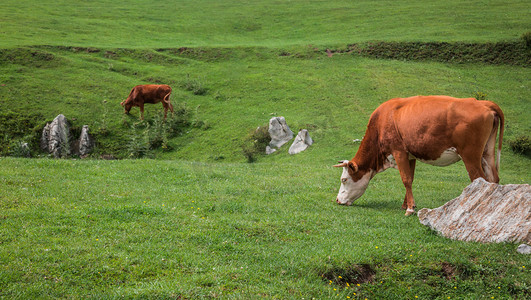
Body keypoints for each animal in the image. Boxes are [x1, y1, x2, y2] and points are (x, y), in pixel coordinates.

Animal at [334, 96, 504, 216]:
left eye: (344, 179)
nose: (337, 200)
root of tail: (483, 103)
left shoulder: (399, 152)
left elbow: (406, 179)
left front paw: (409, 209)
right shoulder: (410, 156)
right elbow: (411, 178)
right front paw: (407, 204)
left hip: (470, 155)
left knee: (479, 179)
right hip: (487, 153)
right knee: (493, 179)